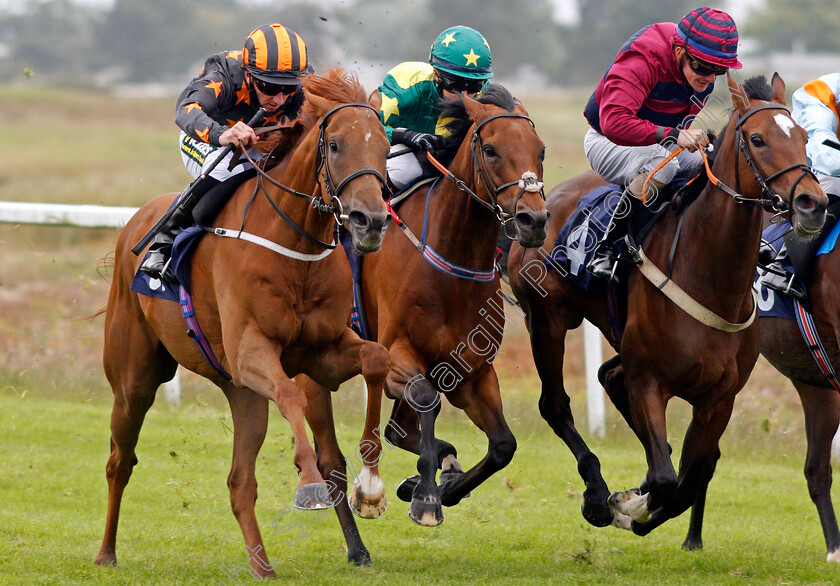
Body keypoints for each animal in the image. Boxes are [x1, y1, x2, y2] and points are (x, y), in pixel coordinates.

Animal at [96, 69, 394, 576]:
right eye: (335, 144)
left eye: (384, 144)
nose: (369, 221)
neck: (294, 248)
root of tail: (135, 223)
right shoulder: (253, 350)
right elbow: (292, 395)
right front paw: (309, 483)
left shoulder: (322, 351)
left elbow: (376, 358)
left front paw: (370, 486)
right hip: (134, 379)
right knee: (121, 460)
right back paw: (106, 552)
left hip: (242, 392)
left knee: (240, 482)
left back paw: (262, 567)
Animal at [352, 83, 548, 524]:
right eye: (490, 149)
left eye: (541, 150)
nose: (534, 220)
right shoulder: (396, 353)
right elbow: (427, 398)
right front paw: (426, 496)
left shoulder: (470, 372)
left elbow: (503, 445)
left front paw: (442, 487)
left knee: (398, 429)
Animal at [506, 73, 828, 540]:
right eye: (758, 139)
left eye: (803, 137)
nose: (813, 204)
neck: (711, 277)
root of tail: (538, 209)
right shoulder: (649, 380)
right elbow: (665, 480)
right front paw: (625, 504)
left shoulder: (719, 398)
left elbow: (686, 483)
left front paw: (638, 502)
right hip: (547, 321)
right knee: (555, 404)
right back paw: (596, 495)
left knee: (609, 378)